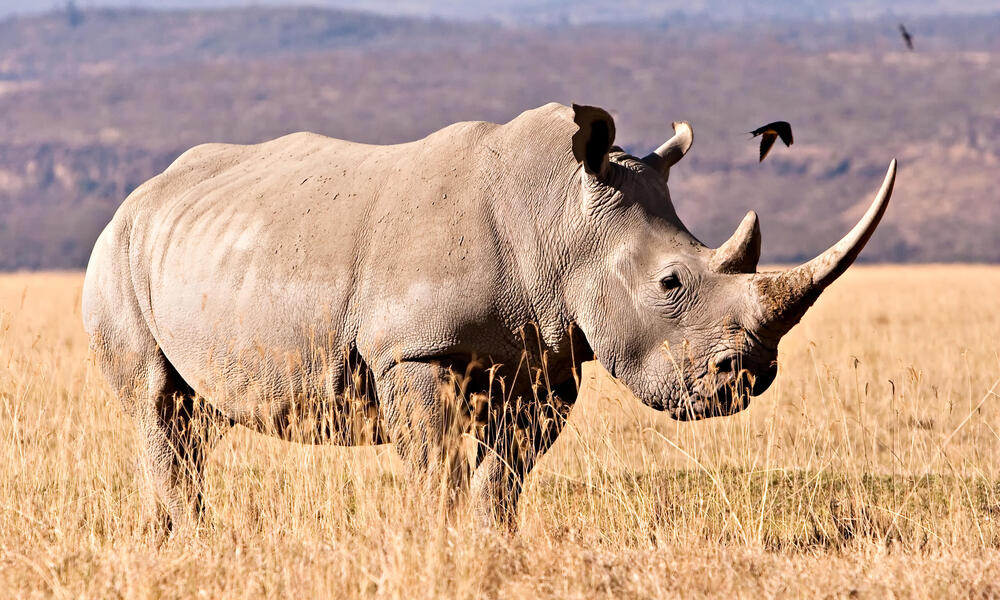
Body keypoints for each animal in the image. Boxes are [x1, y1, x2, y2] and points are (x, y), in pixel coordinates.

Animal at [82, 102, 896, 528]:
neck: (560, 217)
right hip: (116, 253)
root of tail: (140, 195)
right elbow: (437, 465)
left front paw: (490, 541)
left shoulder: (548, 361)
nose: (749, 376)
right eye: (670, 282)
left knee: (195, 418)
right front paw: (439, 541)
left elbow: (504, 473)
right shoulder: (414, 351)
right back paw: (189, 535)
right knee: (157, 403)